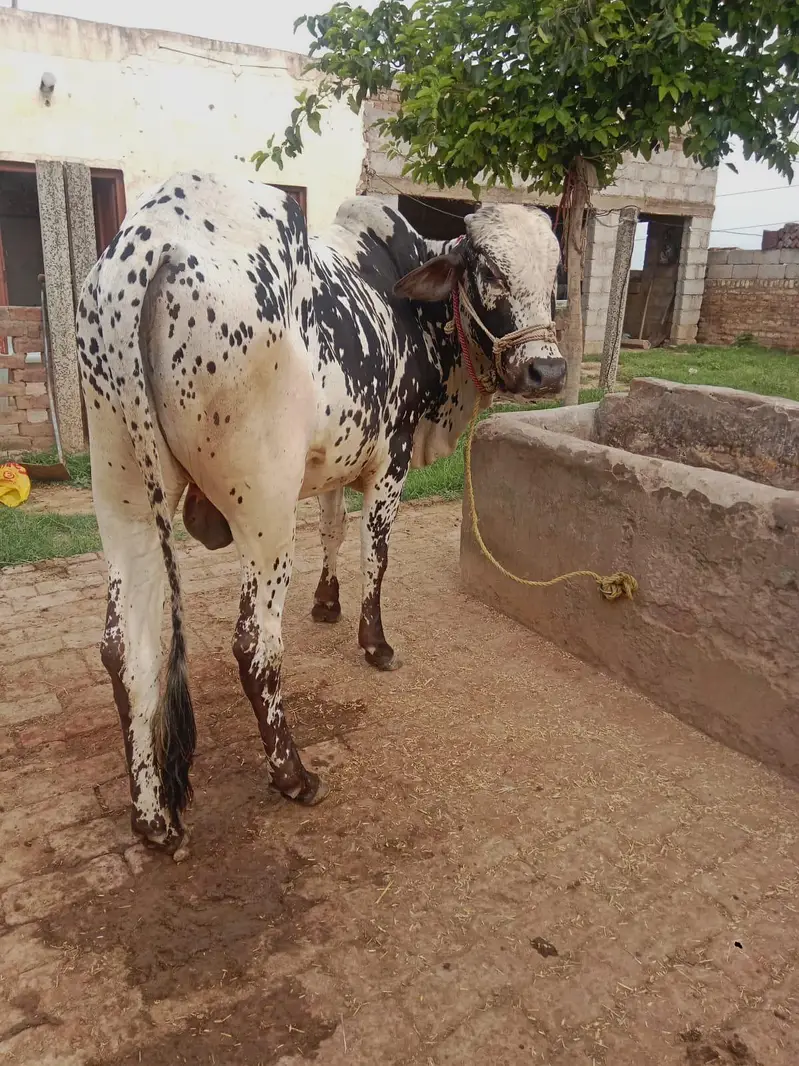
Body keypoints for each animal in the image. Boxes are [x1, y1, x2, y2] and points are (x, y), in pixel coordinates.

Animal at [76, 172, 564, 855]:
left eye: (555, 274)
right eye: (487, 269)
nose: (547, 369)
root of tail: (152, 245)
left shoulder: (338, 455)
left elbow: (332, 527)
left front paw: (327, 603)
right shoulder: (390, 455)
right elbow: (375, 550)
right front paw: (374, 642)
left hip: (122, 493)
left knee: (126, 648)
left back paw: (152, 819)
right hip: (264, 511)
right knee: (253, 642)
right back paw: (293, 775)